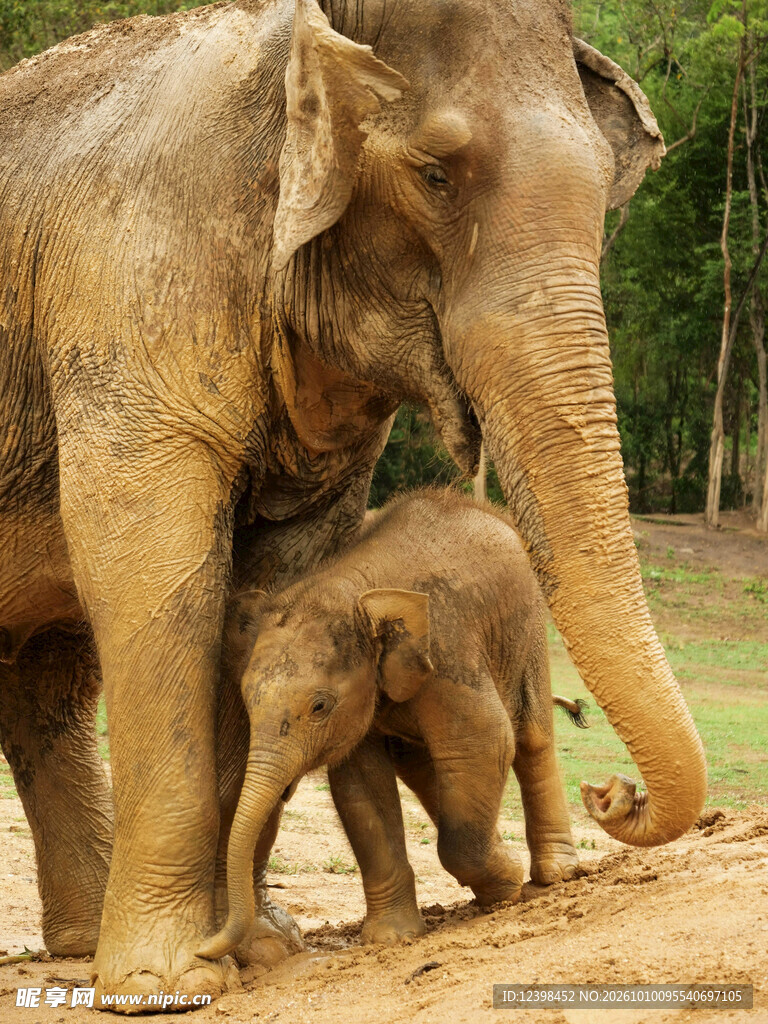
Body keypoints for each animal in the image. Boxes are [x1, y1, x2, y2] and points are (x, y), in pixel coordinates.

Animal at [199, 488, 585, 957]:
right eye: (247, 703)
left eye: (320, 707)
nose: (204, 947)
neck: (349, 589)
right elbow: (360, 785)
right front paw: (393, 938)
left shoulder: (448, 651)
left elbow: (485, 741)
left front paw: (508, 884)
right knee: (422, 765)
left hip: (525, 628)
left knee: (529, 738)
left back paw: (558, 875)